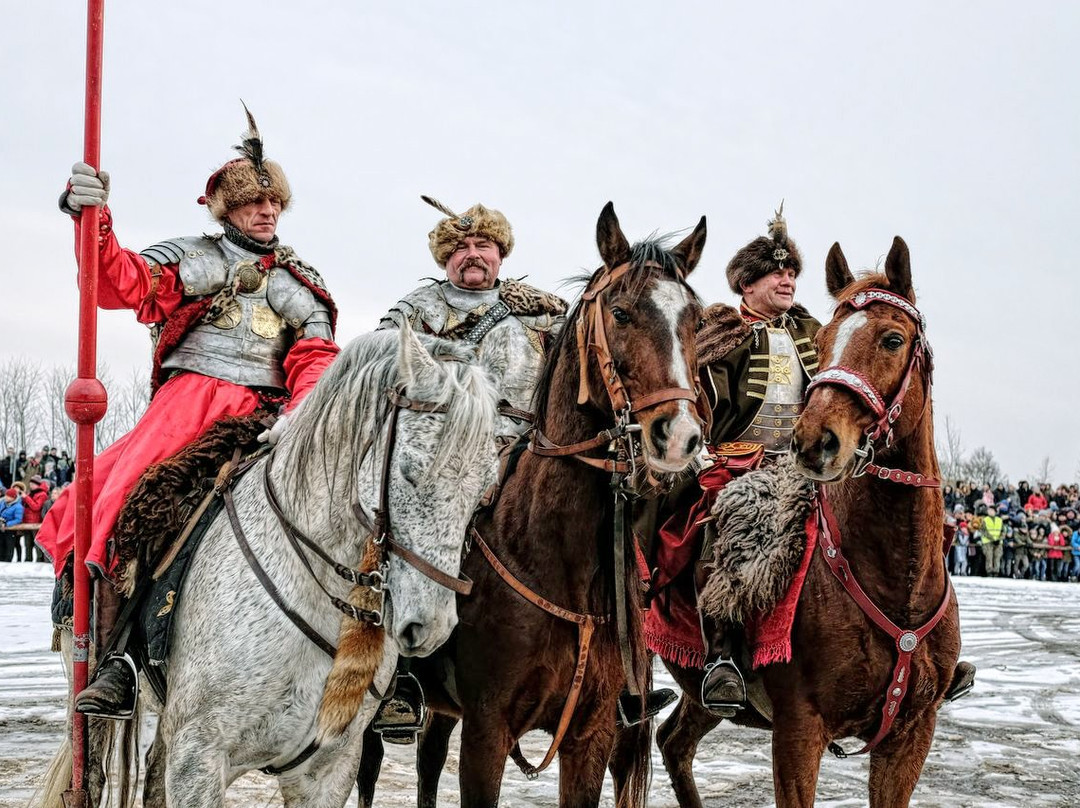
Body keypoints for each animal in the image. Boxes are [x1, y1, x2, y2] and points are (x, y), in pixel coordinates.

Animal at [36, 324, 501, 803]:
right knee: (89, 774)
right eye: (409, 471)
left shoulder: (328, 768)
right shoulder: (198, 757)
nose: (431, 627)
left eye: (485, 489)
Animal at [356, 203, 708, 808]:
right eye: (621, 313)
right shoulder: (488, 730)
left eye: (695, 322)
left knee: (428, 764)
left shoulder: (591, 735)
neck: (554, 559)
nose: (680, 438)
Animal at [617, 236, 963, 803]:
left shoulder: (911, 735)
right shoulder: (799, 729)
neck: (897, 581)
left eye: (892, 339)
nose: (815, 441)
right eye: (823, 342)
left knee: (673, 743)